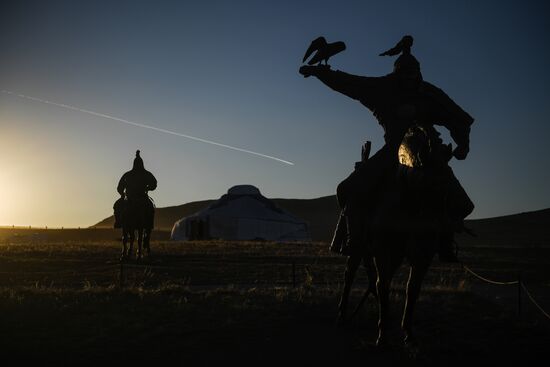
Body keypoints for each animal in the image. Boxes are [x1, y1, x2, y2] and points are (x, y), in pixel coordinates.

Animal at [338, 126, 460, 354]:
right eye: (430, 186)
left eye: (448, 189)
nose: (438, 224)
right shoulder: (383, 253)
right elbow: (383, 284)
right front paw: (383, 336)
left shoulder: (422, 257)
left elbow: (412, 290)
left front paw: (409, 334)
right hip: (358, 248)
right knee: (350, 275)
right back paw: (342, 315)